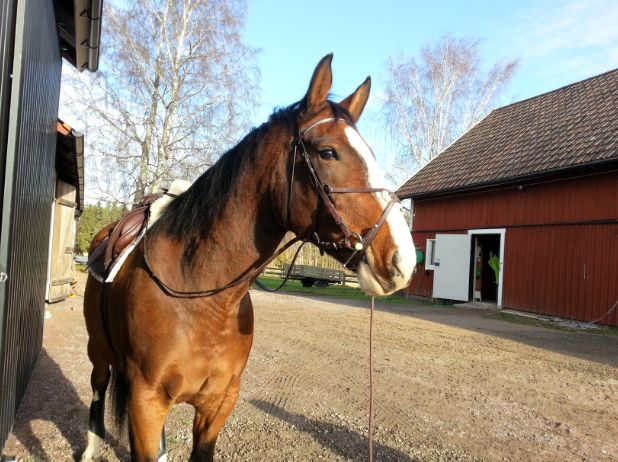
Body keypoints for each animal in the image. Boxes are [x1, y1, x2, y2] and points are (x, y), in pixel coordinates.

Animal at [81, 54, 416, 462]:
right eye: (327, 152)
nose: (402, 260)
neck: (201, 297)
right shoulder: (145, 402)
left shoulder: (218, 404)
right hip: (98, 351)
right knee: (97, 386)